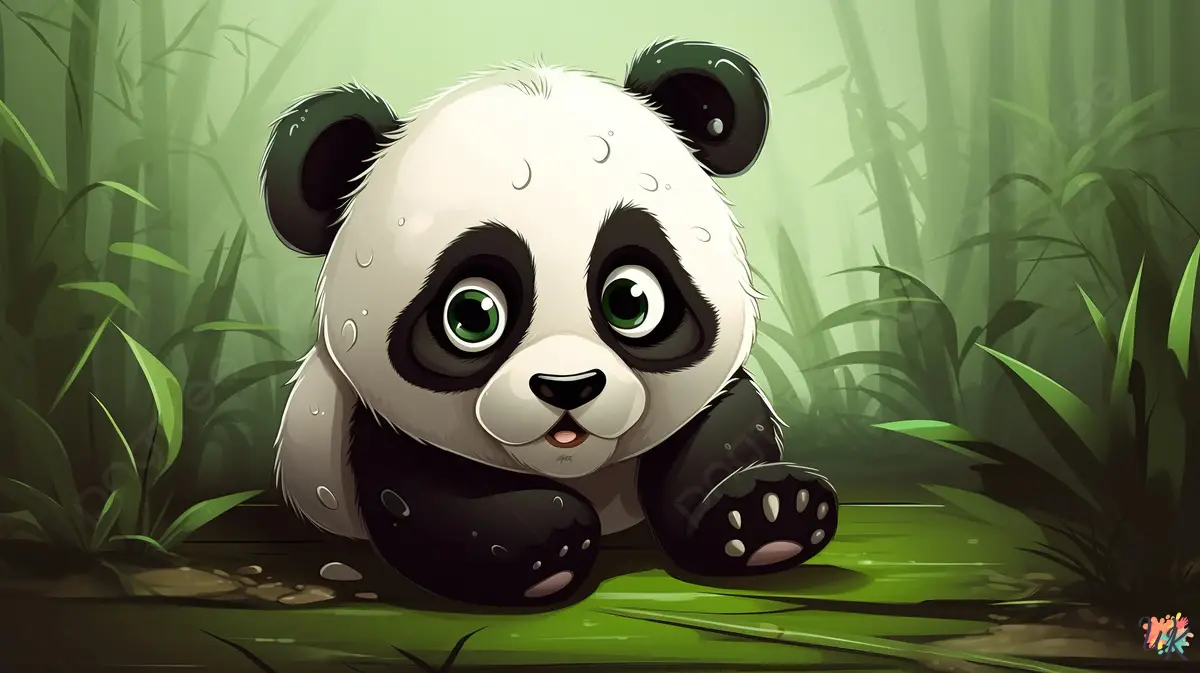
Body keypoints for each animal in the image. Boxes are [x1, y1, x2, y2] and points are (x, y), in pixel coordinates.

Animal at [260, 39, 838, 608]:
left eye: (630, 300)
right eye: (471, 315)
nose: (569, 387)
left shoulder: (711, 392)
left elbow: (723, 430)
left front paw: (771, 515)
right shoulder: (377, 421)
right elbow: (419, 500)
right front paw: (546, 544)